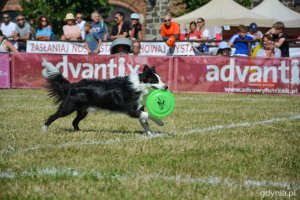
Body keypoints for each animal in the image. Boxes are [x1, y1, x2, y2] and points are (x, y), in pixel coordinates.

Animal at [41, 58, 169, 135]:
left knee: (74, 122)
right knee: (54, 116)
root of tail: (73, 85)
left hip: (83, 110)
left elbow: (144, 121)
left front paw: (150, 134)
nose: (166, 86)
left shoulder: (139, 108)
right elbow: (149, 115)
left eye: (160, 79)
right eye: (155, 80)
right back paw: (44, 129)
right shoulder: (131, 110)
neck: (140, 86)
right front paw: (160, 122)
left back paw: (79, 132)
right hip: (68, 107)